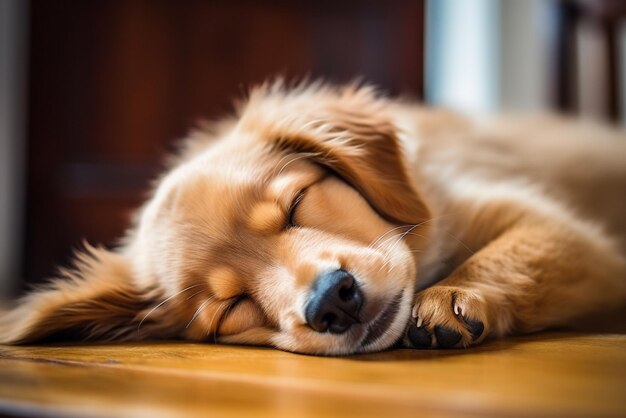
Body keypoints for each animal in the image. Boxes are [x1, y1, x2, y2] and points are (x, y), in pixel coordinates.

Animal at [1, 81, 624, 352]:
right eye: (231, 308)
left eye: (296, 203)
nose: (332, 302)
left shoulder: (567, 234)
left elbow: (508, 255)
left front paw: (453, 295)